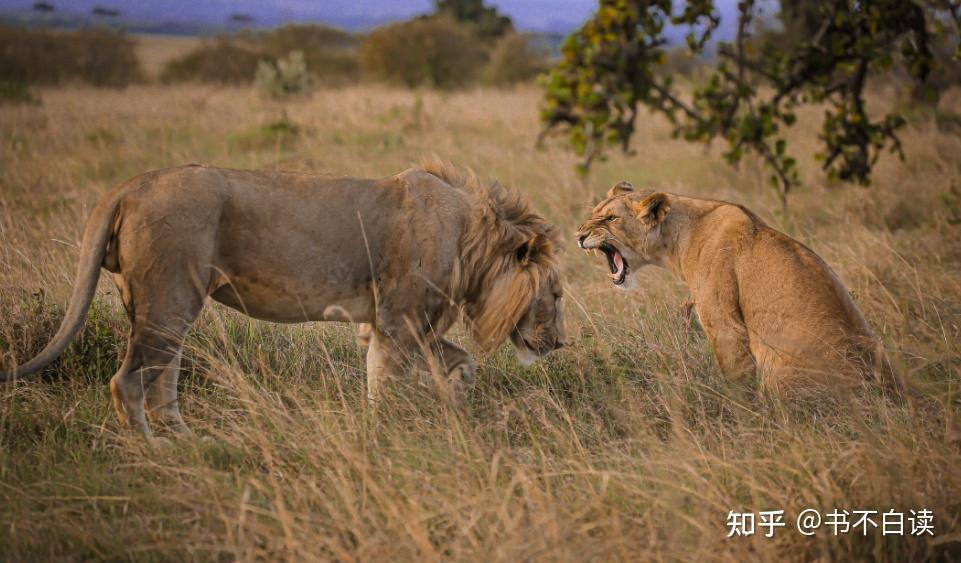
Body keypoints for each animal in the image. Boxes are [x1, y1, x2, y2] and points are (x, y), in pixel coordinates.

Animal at [0, 159, 568, 436]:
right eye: (558, 294)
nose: (560, 343)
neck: (473, 242)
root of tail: (131, 185)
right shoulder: (398, 320)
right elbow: (383, 384)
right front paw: (383, 434)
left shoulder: (406, 326)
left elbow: (461, 363)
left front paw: (456, 413)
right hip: (170, 297)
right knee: (128, 382)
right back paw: (152, 449)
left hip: (160, 305)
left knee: (163, 379)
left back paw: (187, 441)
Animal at [572, 183, 896, 394]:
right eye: (594, 213)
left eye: (611, 218)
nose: (578, 236)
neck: (677, 239)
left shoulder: (724, 324)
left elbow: (735, 377)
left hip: (779, 368)